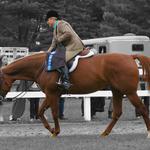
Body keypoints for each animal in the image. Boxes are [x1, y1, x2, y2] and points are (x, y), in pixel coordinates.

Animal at [0, 52, 150, 138]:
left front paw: (55, 131)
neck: (42, 66)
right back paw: (104, 133)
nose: (2, 98)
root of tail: (130, 56)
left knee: (142, 109)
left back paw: (148, 133)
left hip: (129, 92)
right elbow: (40, 112)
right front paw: (51, 130)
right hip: (117, 91)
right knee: (117, 113)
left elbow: (53, 113)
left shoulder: (51, 94)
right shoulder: (52, 94)